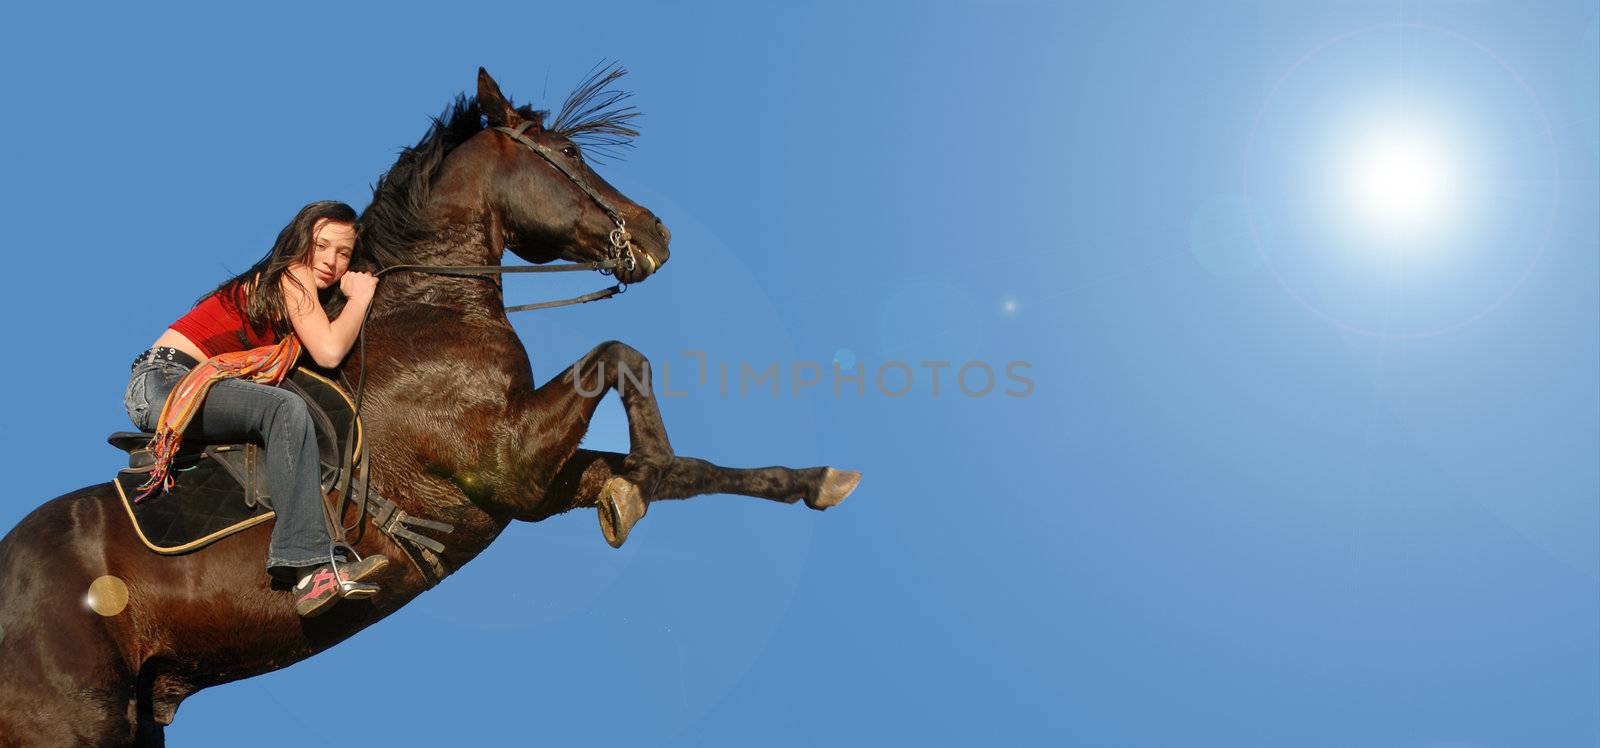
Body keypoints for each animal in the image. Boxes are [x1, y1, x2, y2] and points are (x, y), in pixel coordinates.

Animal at [0, 67, 864, 744]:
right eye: (571, 155)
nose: (656, 233)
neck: (428, 308)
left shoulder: (529, 486)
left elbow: (691, 467)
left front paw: (809, 482)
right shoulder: (507, 464)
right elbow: (621, 359)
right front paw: (644, 473)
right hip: (73, 724)